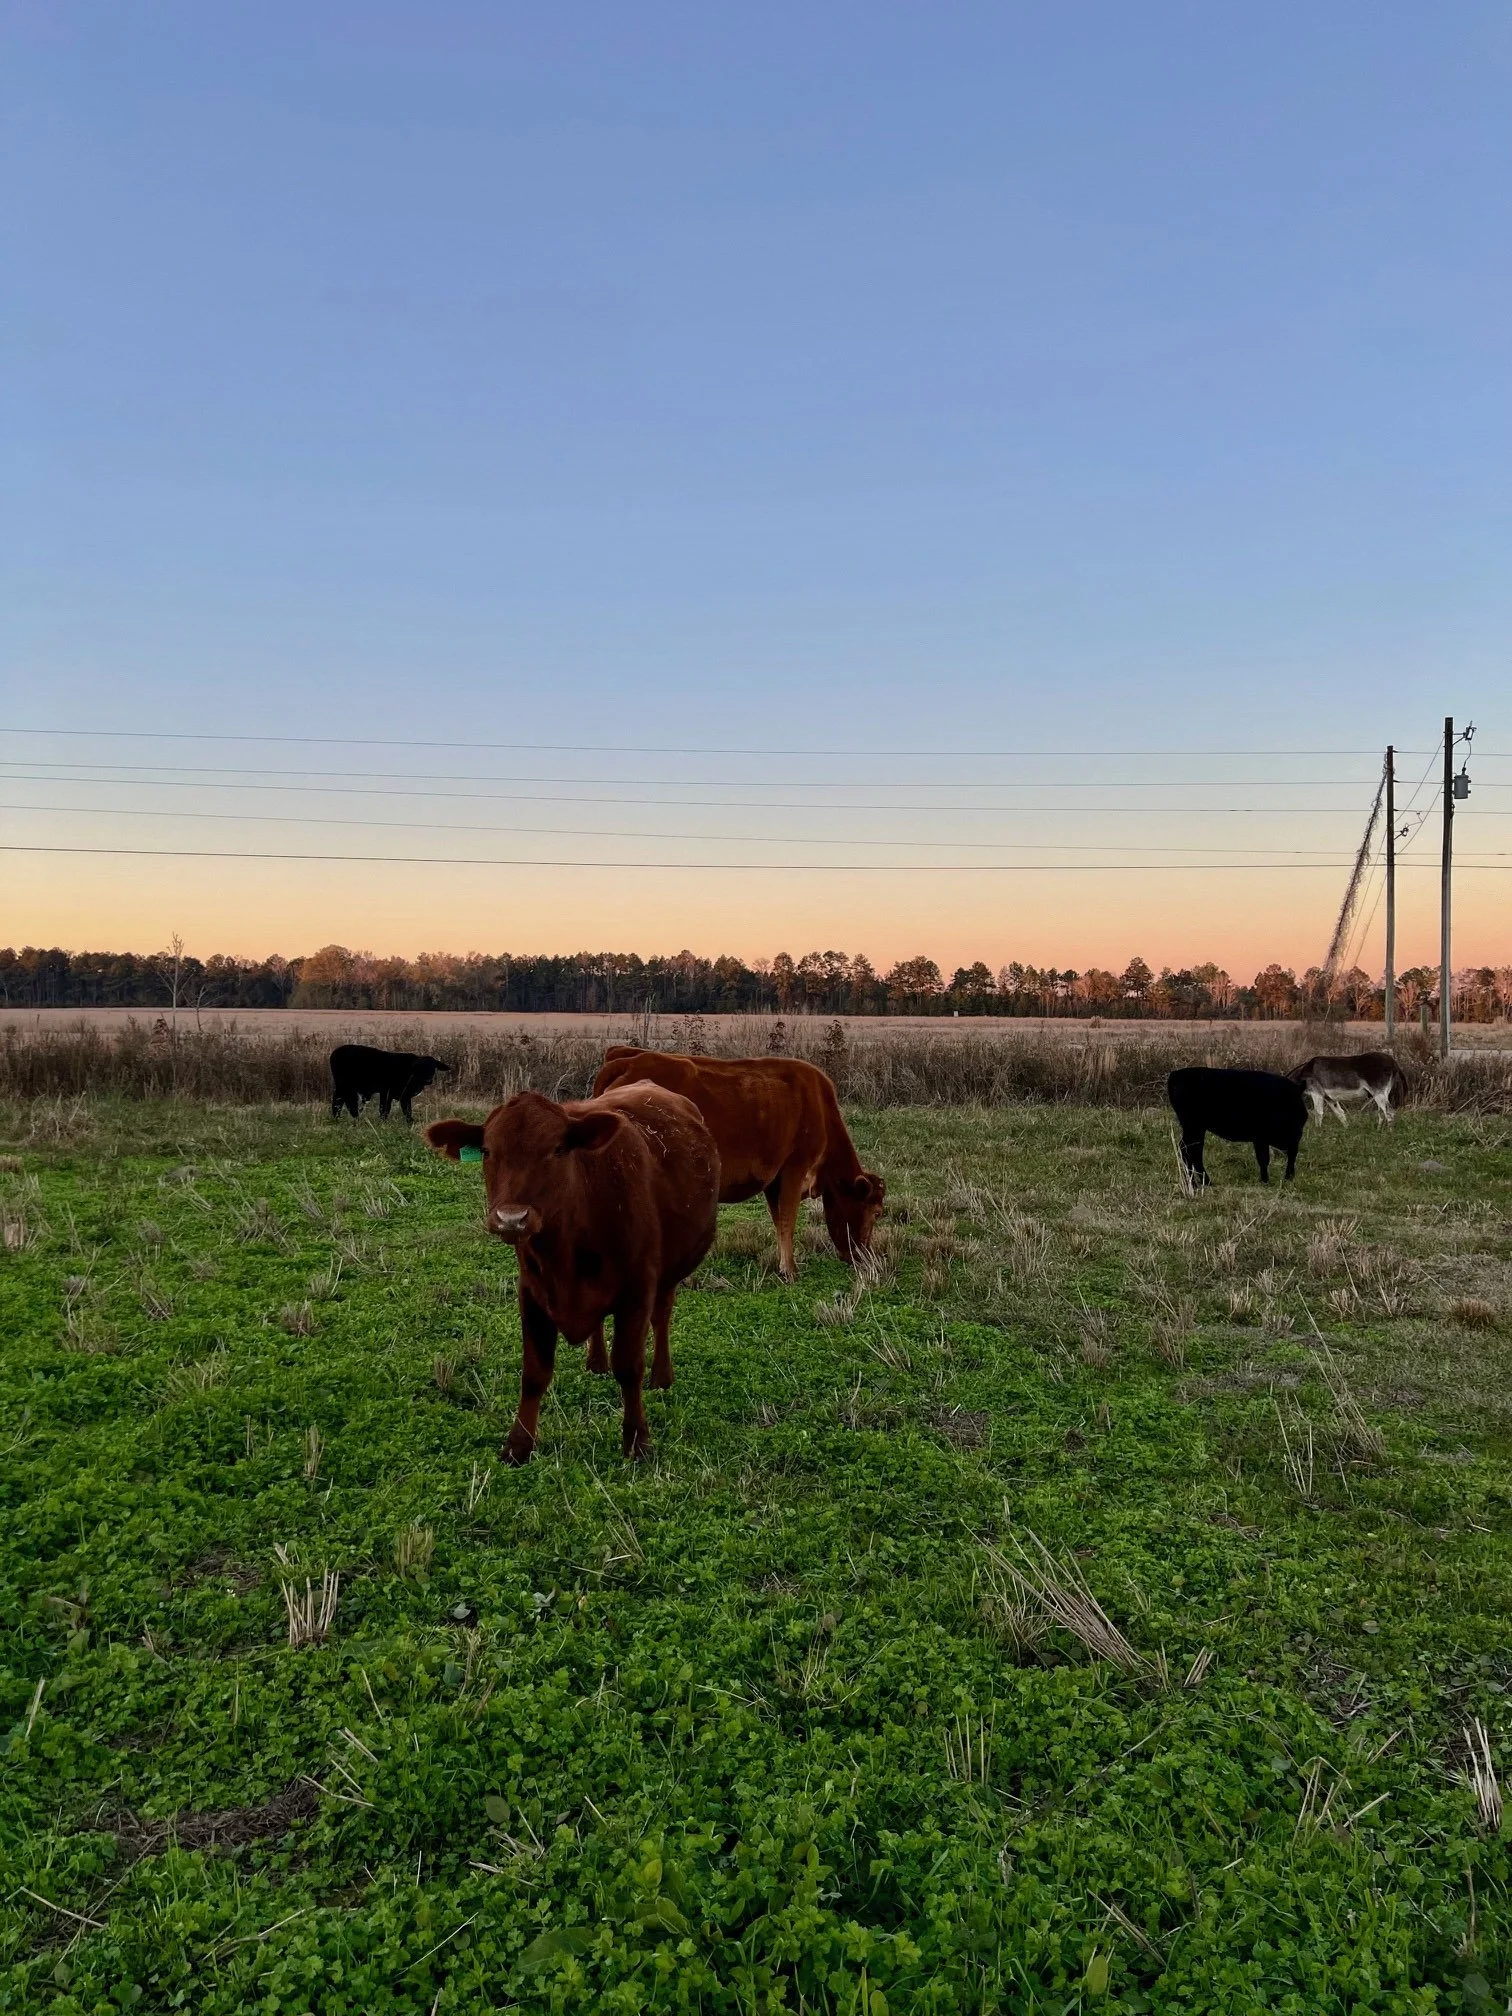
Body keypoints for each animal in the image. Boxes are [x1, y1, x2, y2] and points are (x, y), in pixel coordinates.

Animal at [425, 1083, 718, 1463]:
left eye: (558, 1149)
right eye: (487, 1151)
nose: (512, 1219)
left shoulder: (638, 1291)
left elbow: (629, 1367)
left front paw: (637, 1440)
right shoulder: (531, 1292)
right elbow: (534, 1372)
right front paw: (518, 1445)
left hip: (671, 1271)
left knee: (662, 1316)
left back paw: (662, 1377)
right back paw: (596, 1362)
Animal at [591, 1046, 885, 1280]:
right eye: (877, 1212)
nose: (863, 1257)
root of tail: (627, 1058)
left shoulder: (773, 1179)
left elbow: (779, 1220)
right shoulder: (795, 1168)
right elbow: (788, 1219)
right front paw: (790, 1271)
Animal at [1167, 1067, 1308, 1187]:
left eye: (1304, 1117)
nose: (1297, 1130)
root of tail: (1176, 1074)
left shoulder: (1292, 1140)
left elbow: (1292, 1156)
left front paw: (1288, 1178)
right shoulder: (1261, 1137)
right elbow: (1264, 1159)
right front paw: (1265, 1181)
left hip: (1197, 1129)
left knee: (1195, 1151)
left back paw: (1205, 1182)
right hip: (1192, 1127)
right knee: (1187, 1150)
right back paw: (1193, 1184)